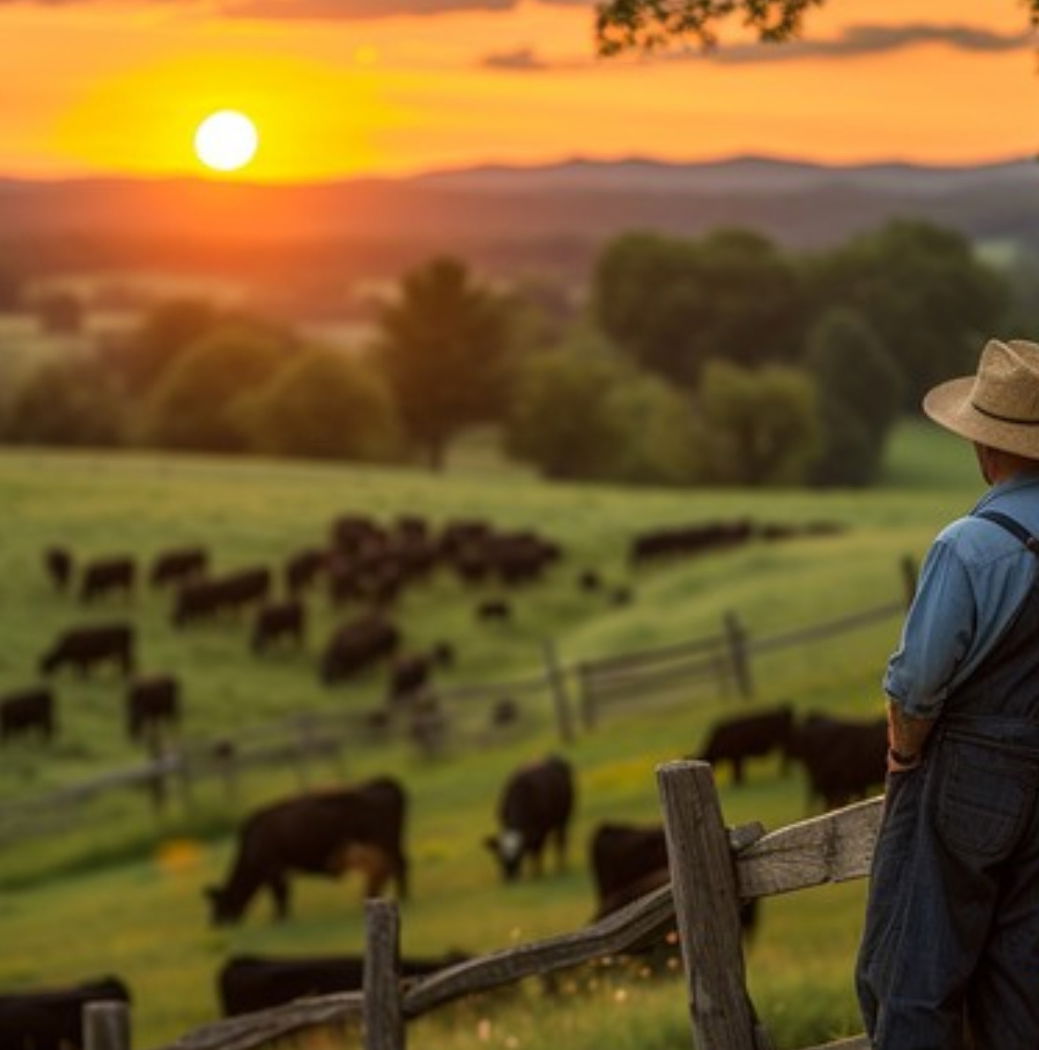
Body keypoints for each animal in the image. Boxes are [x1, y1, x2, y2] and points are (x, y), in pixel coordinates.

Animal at [203, 772, 411, 928]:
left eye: (219, 904)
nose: (215, 924)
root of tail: (381, 782)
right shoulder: (280, 870)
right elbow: (284, 894)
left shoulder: (274, 868)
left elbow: (280, 895)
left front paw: (279, 919)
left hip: (386, 843)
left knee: (399, 865)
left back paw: (403, 896)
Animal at [484, 751, 575, 881]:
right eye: (499, 857)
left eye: (519, 855)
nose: (510, 877)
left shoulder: (540, 830)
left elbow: (537, 851)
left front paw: (537, 872)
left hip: (563, 819)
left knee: (560, 841)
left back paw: (561, 867)